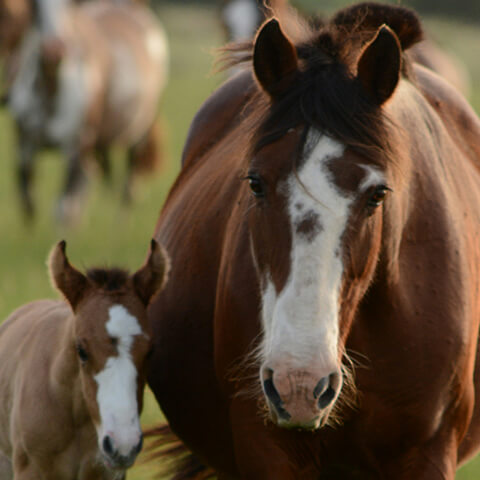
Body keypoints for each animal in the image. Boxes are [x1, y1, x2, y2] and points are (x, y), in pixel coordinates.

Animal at [6, 0, 169, 222]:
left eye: (69, 6)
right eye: (34, 6)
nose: (54, 50)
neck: (51, 90)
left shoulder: (77, 148)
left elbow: (64, 210)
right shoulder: (24, 146)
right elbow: (28, 204)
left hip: (139, 135)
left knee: (128, 189)